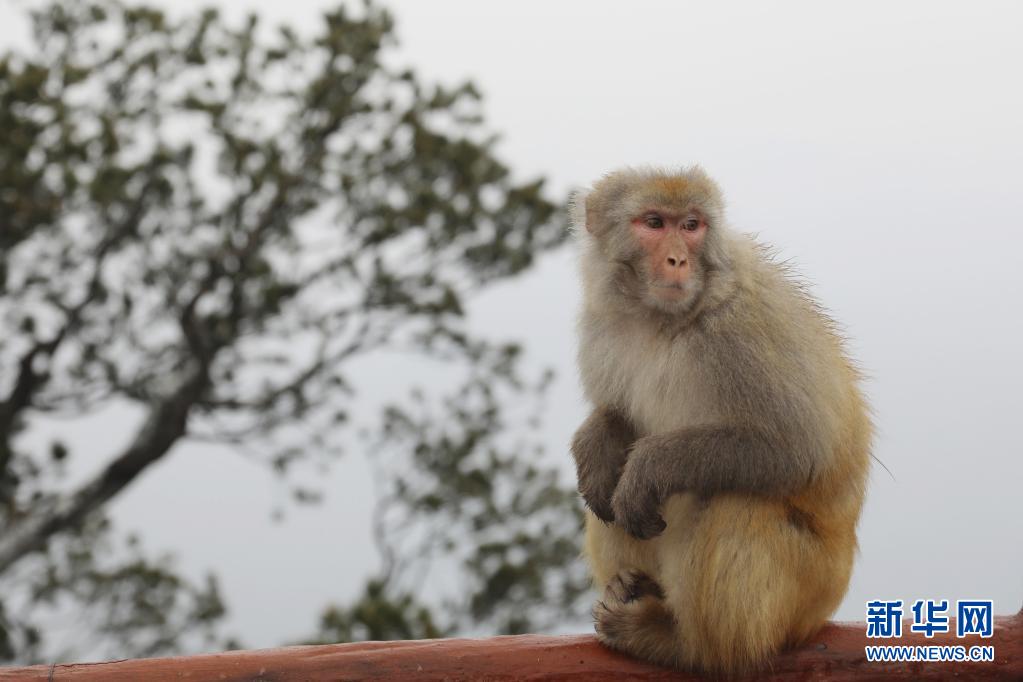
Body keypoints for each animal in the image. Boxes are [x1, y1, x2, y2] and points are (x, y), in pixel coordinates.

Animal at [569, 166, 872, 676]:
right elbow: (617, 420)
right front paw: (597, 442)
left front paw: (649, 467)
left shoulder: (743, 329)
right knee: (608, 501)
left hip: (809, 590)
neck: (662, 321)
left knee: (738, 499)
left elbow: (800, 447)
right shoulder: (602, 326)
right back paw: (634, 587)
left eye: (692, 226)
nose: (677, 259)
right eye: (654, 222)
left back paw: (682, 644)